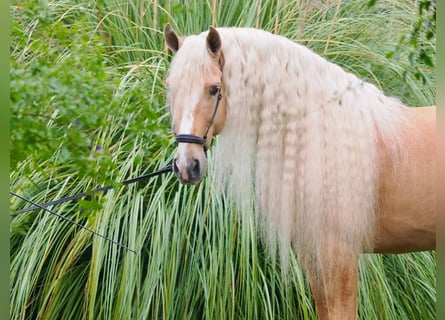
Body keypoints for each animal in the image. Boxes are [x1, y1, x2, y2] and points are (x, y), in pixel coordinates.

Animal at [162, 25, 434, 320]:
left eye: (214, 89)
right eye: (171, 87)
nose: (187, 166)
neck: (323, 137)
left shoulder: (340, 256)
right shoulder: (313, 254)